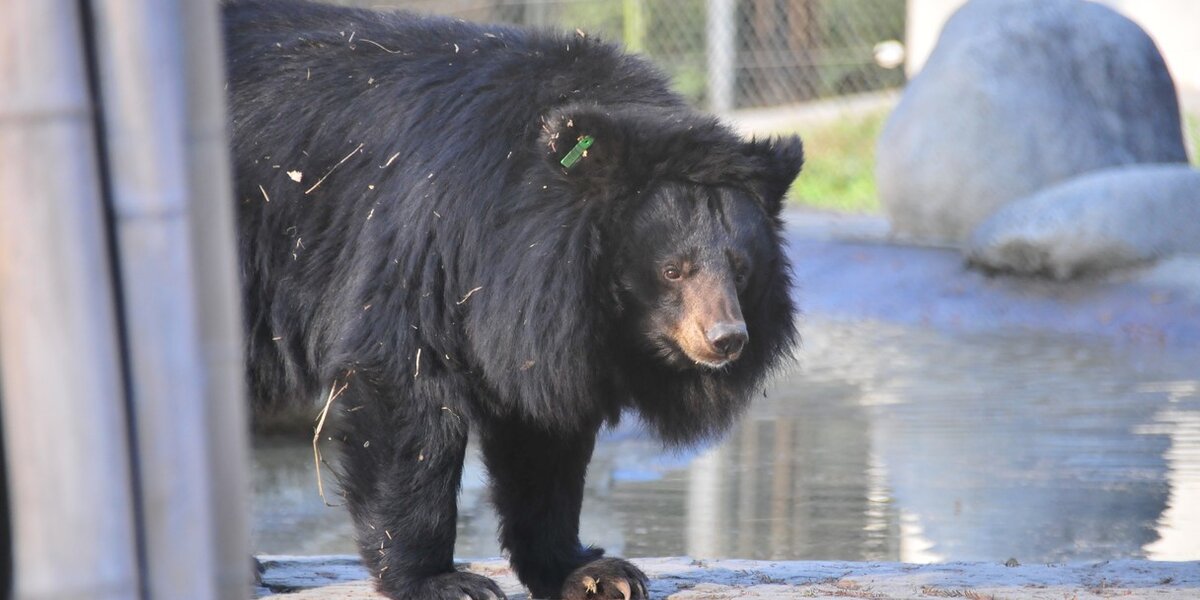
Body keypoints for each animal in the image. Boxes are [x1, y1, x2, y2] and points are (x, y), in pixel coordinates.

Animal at [225, 1, 806, 600]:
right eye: (673, 270)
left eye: (741, 269)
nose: (727, 339)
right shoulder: (429, 239)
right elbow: (407, 381)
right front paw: (444, 581)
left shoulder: (543, 320)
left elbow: (543, 429)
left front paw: (593, 572)